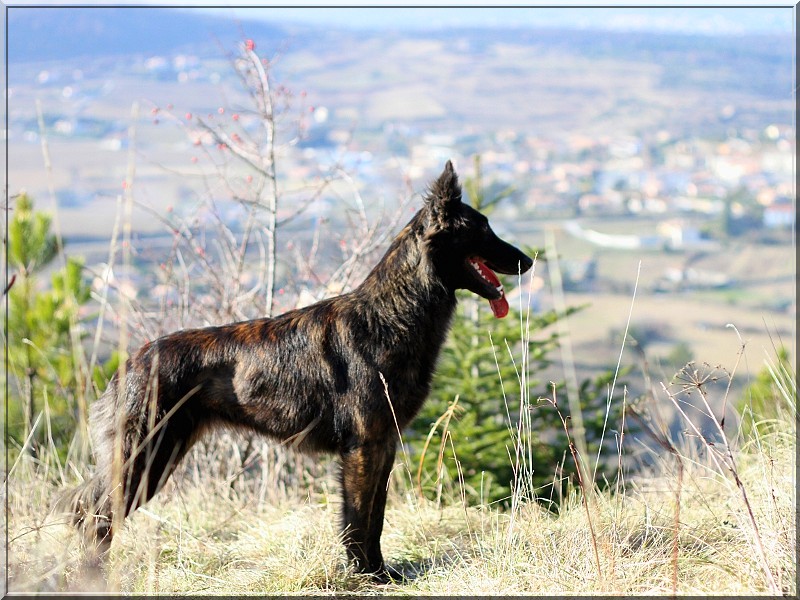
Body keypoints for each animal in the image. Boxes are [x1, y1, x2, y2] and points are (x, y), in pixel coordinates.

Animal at [62, 162, 536, 584]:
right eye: (483, 228)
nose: (529, 261)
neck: (392, 315)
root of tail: (131, 362)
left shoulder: (383, 444)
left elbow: (375, 517)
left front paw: (380, 572)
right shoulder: (364, 447)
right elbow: (359, 519)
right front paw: (366, 575)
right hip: (145, 459)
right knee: (92, 515)